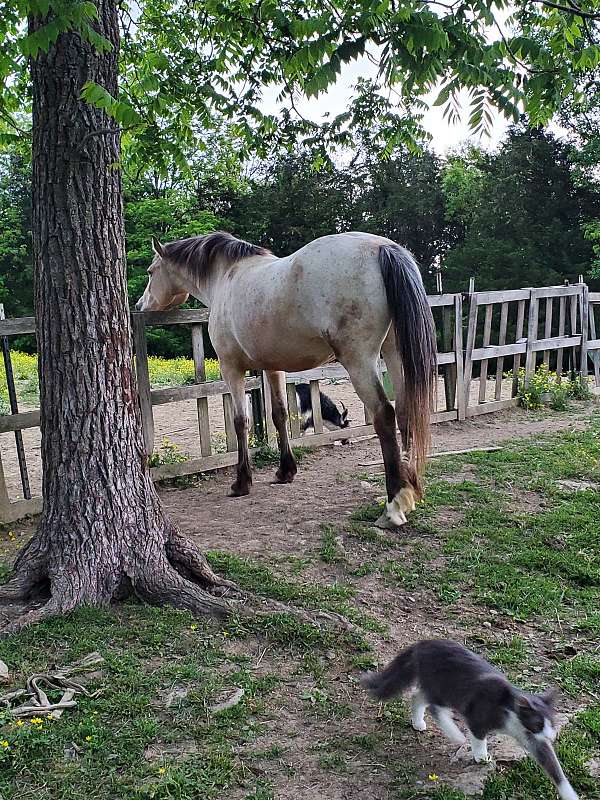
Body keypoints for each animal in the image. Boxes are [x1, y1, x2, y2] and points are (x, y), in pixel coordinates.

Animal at [135, 231, 437, 527]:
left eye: (150, 271)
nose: (140, 304)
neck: (226, 276)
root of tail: (382, 247)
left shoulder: (231, 368)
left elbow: (241, 421)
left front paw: (241, 482)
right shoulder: (273, 368)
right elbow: (279, 414)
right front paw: (285, 471)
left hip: (359, 360)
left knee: (384, 414)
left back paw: (393, 505)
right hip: (395, 352)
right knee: (406, 410)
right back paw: (411, 491)